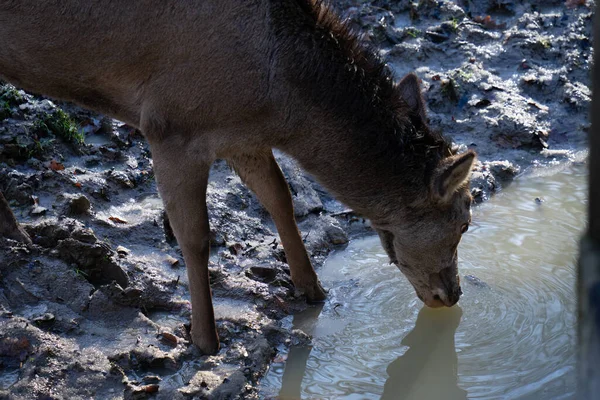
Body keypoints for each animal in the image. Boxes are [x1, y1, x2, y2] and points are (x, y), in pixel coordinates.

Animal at [0, 0, 476, 356]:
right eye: (465, 222)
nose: (451, 294)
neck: (275, 102)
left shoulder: (242, 137)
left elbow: (280, 198)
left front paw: (313, 290)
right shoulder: (169, 125)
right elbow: (195, 235)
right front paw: (205, 340)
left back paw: (18, 234)